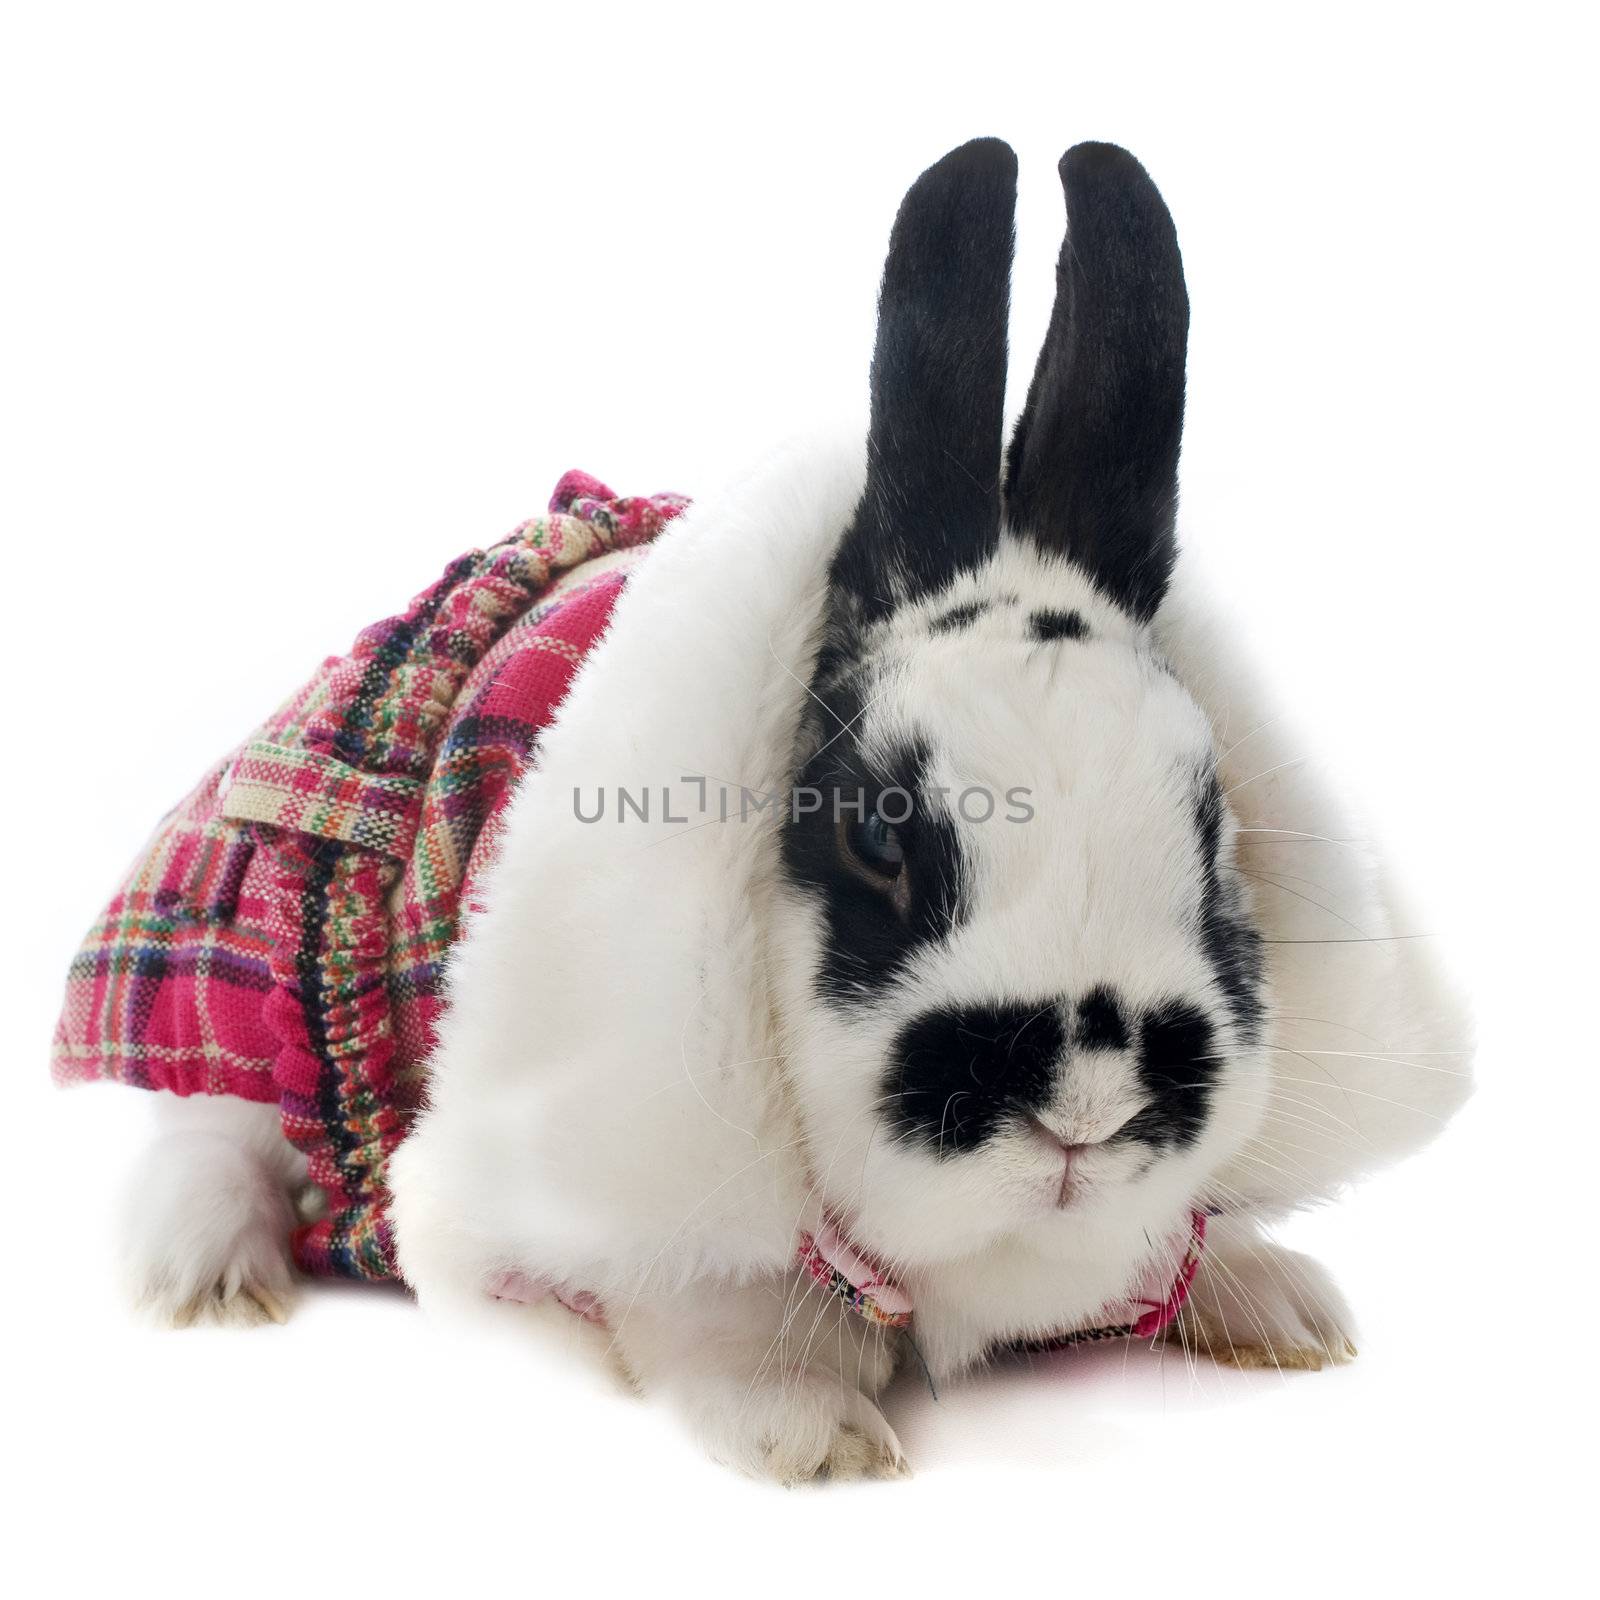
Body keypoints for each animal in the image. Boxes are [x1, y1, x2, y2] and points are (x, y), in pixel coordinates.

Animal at [109, 140, 1472, 1484]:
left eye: (1212, 833)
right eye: (875, 836)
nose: (1084, 1111)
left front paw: (1283, 1309)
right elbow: (704, 1303)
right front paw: (811, 1433)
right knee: (211, 1131)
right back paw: (206, 1279)